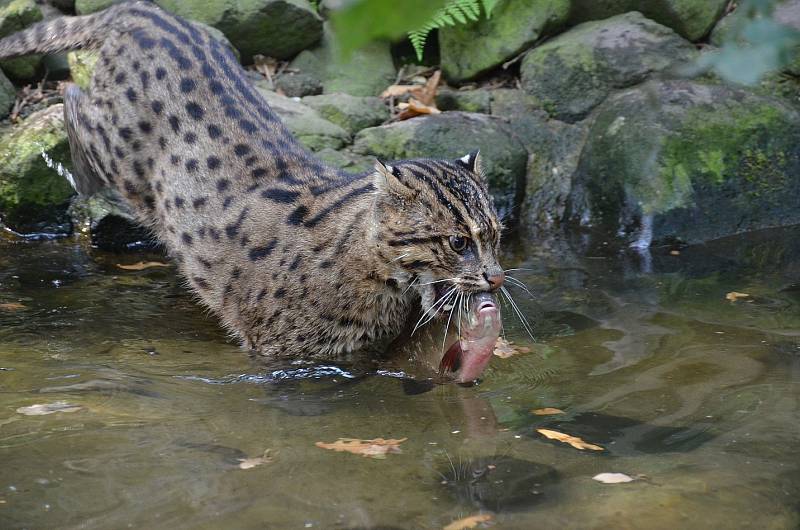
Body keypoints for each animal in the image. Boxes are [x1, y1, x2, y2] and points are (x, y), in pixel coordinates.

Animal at [0, 2, 504, 378]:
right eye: (457, 242)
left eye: (497, 236)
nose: (497, 278)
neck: (377, 275)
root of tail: (146, 11)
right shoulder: (281, 351)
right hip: (121, 155)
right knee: (71, 95)